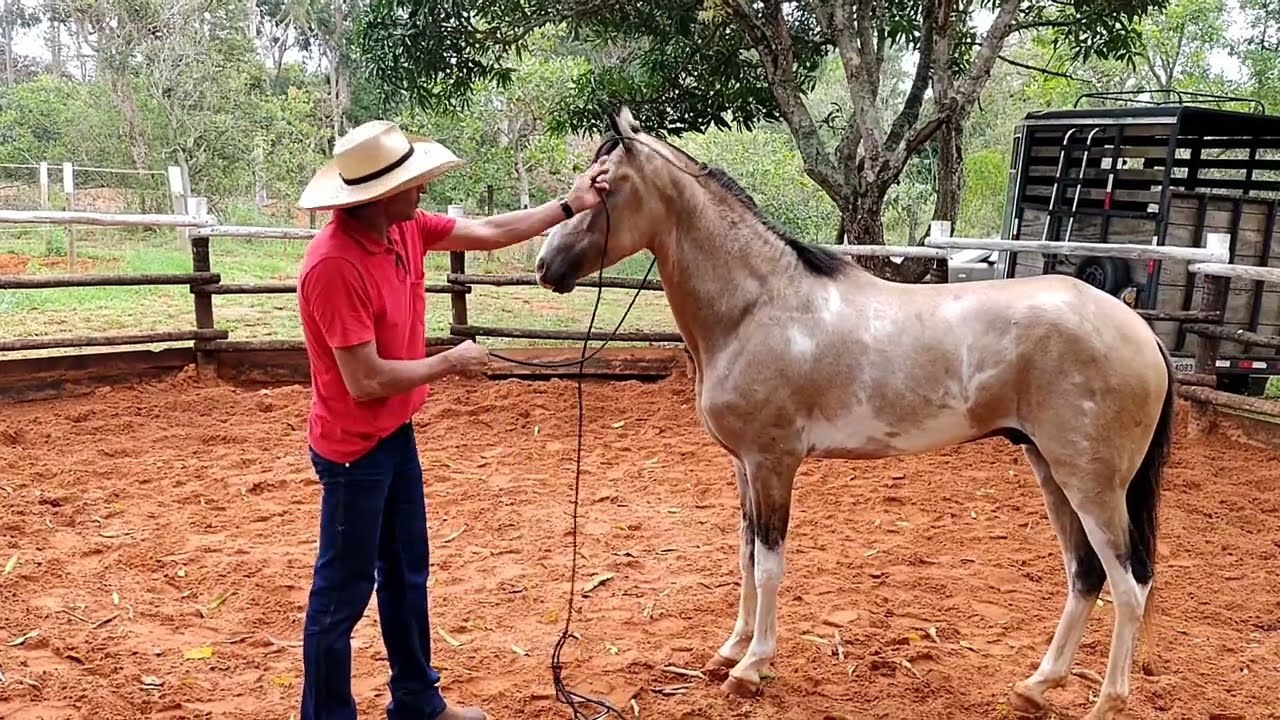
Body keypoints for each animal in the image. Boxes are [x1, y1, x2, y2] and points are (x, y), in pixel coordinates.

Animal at [533, 107, 1175, 720]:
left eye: (603, 185)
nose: (544, 266)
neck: (756, 308)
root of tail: (1139, 329)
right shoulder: (744, 467)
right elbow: (745, 556)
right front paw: (730, 650)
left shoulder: (772, 464)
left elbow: (768, 564)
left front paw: (752, 669)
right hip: (1051, 471)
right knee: (1085, 575)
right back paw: (1037, 686)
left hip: (1091, 484)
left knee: (1129, 585)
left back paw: (1105, 703)